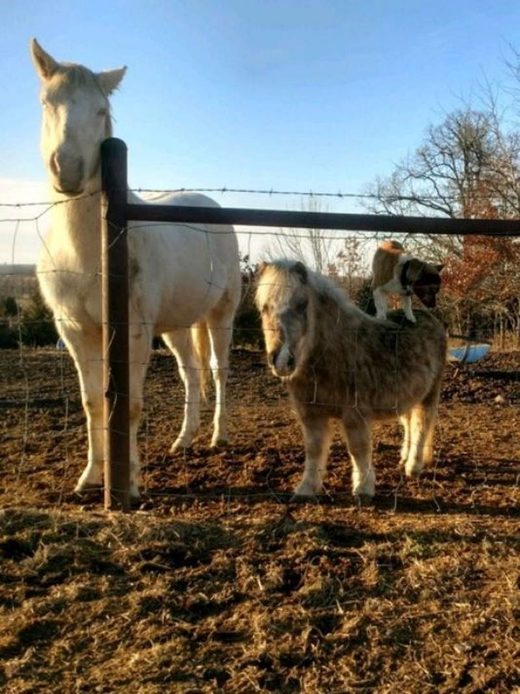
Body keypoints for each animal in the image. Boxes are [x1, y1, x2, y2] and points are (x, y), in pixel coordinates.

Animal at [30, 39, 241, 499]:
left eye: (100, 111)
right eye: (46, 103)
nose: (67, 169)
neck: (90, 251)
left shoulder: (134, 332)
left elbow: (130, 402)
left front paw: (130, 480)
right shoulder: (76, 332)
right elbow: (94, 402)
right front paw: (91, 476)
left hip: (221, 313)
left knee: (218, 371)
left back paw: (218, 436)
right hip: (176, 325)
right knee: (190, 373)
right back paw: (184, 439)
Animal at [255, 259, 446, 502]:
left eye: (301, 304)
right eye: (264, 307)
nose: (281, 360)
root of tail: (430, 318)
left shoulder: (355, 413)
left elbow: (358, 449)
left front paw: (363, 489)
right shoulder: (311, 414)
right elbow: (314, 449)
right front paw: (307, 489)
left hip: (429, 394)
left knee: (422, 425)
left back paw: (413, 466)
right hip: (407, 397)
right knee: (410, 424)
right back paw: (404, 457)